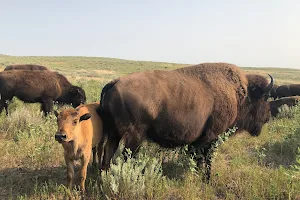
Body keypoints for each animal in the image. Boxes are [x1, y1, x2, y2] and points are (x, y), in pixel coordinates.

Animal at [97, 62, 274, 181]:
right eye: (264, 97)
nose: (267, 117)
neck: (240, 94)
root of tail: (114, 82)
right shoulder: (212, 137)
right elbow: (206, 160)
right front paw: (207, 180)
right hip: (135, 135)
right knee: (127, 157)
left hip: (114, 133)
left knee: (108, 155)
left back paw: (103, 179)